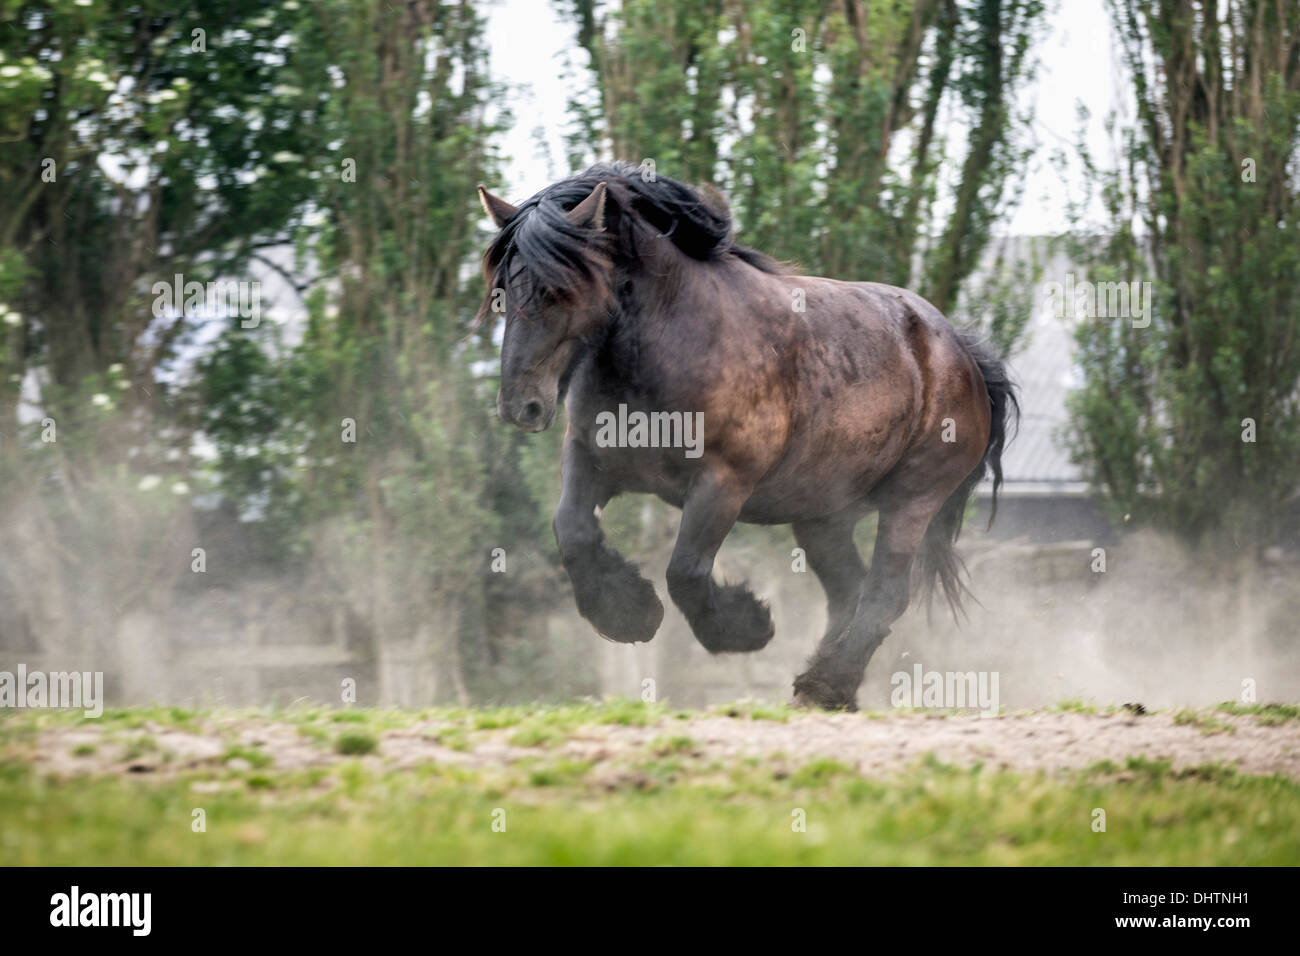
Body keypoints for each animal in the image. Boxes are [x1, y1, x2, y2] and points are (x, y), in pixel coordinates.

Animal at [476, 163, 1018, 710]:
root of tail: (962, 351)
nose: (520, 405)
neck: (667, 346)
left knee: (884, 594)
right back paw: (822, 683)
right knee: (848, 591)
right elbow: (573, 531)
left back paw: (826, 684)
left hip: (911, 501)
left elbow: (685, 571)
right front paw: (630, 615)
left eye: (559, 291)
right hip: (825, 515)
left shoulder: (723, 482)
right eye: (500, 292)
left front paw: (748, 626)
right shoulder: (590, 459)